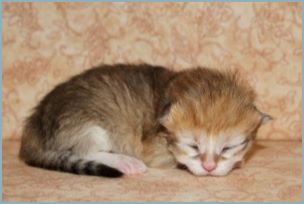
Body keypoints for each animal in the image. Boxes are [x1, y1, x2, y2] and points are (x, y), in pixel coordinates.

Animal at [18, 63, 270, 177]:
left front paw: (237, 161)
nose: (210, 167)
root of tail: (33, 126)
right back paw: (125, 162)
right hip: (87, 125)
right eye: (192, 146)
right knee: (85, 151)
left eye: (228, 147)